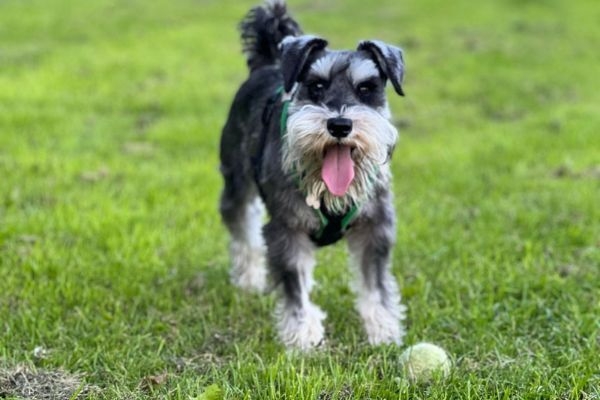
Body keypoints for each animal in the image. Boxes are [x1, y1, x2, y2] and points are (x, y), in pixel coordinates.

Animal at [220, 0, 408, 350]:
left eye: (366, 89)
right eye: (317, 86)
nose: (339, 125)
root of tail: (267, 64)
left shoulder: (375, 227)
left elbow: (375, 283)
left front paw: (383, 331)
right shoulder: (287, 228)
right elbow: (293, 283)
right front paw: (303, 336)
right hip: (235, 184)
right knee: (243, 230)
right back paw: (250, 280)